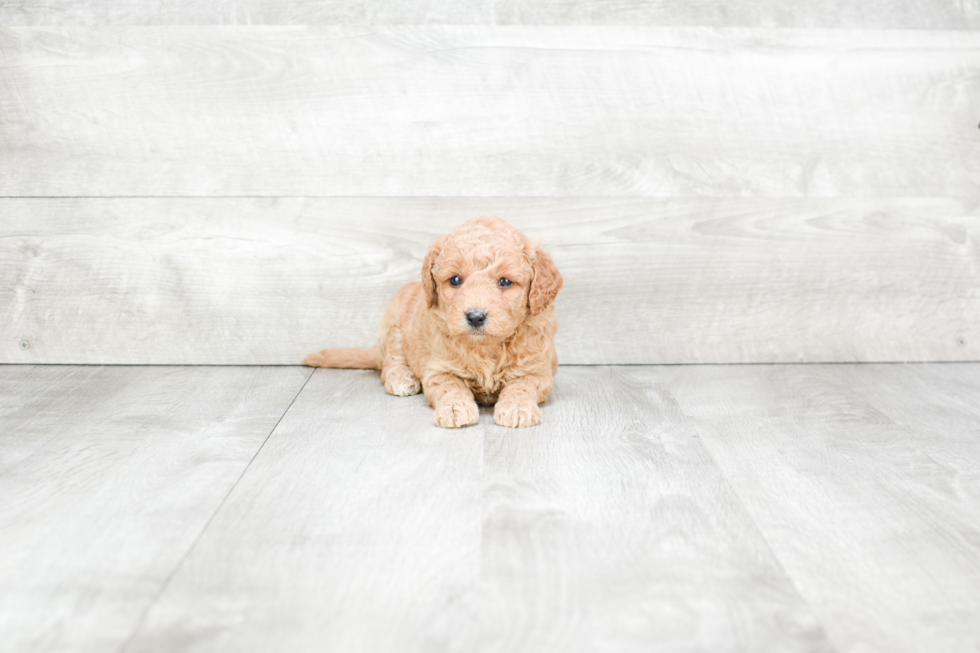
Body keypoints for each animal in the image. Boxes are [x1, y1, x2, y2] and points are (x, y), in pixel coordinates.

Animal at [302, 215, 564, 428]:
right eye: (455, 280)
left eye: (506, 282)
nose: (475, 316)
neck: (486, 348)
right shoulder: (439, 369)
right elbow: (451, 386)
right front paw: (455, 409)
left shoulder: (538, 371)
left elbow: (522, 386)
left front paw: (517, 408)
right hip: (393, 325)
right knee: (391, 361)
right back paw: (401, 379)